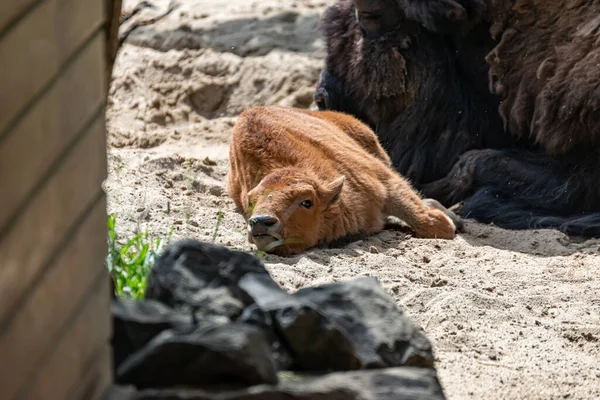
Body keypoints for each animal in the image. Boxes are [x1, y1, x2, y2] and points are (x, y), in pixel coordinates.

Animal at [227, 105, 458, 256]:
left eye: (307, 202)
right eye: (251, 202)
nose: (260, 222)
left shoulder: (384, 181)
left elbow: (430, 222)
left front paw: (447, 223)